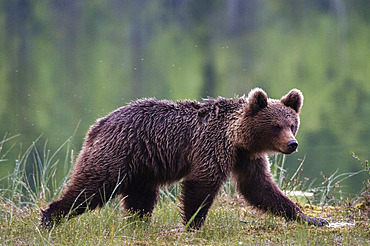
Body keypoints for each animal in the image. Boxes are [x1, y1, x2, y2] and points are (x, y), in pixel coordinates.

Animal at [42, 88, 328, 229]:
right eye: (276, 126)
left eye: (292, 124)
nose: (292, 144)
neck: (237, 138)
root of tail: (98, 124)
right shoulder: (212, 146)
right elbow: (201, 184)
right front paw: (193, 224)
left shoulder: (246, 158)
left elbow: (260, 188)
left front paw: (312, 218)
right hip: (116, 154)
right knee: (91, 188)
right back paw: (49, 217)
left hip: (142, 168)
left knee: (140, 199)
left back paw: (138, 223)